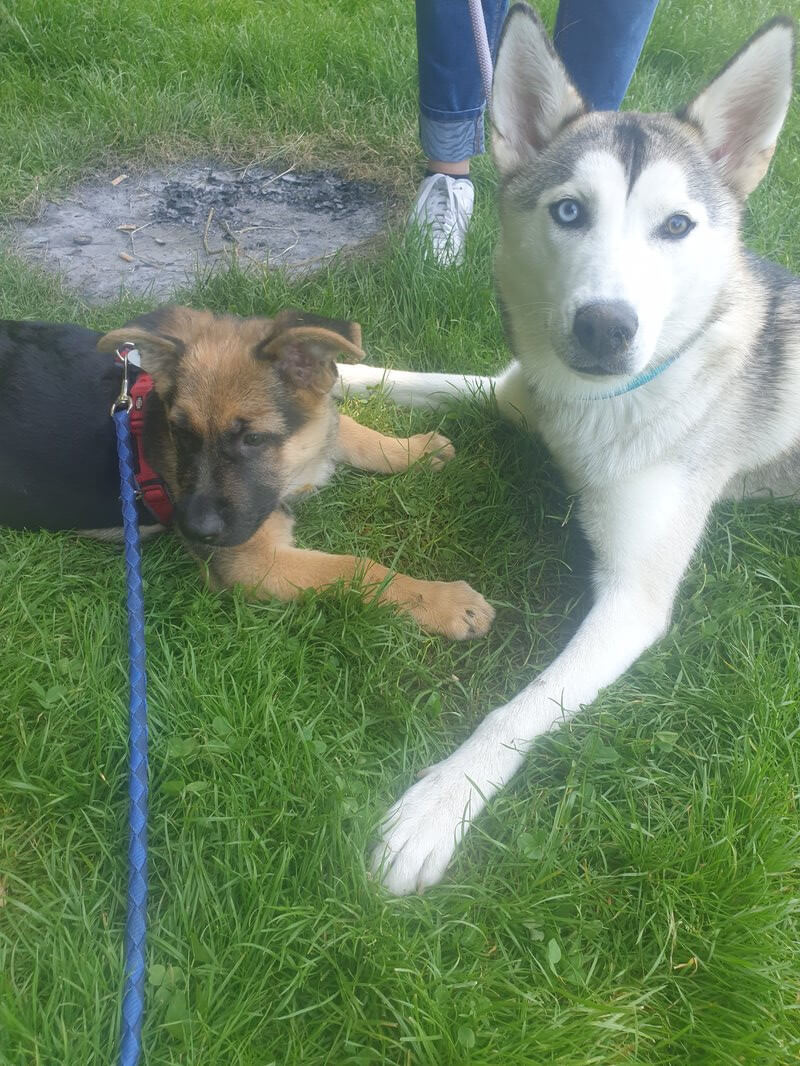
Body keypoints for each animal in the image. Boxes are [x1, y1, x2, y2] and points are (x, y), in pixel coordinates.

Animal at [0, 306, 495, 640]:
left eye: (253, 439)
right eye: (181, 434)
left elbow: (350, 430)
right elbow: (354, 569)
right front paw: (444, 601)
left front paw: (415, 449)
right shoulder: (254, 564)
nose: (193, 530)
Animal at [336, 7, 799, 894]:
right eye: (570, 212)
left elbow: (516, 709)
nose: (604, 327)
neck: (605, 410)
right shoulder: (518, 393)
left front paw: (439, 805)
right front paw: (321, 371)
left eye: (677, 226)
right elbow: (416, 378)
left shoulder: (632, 602)